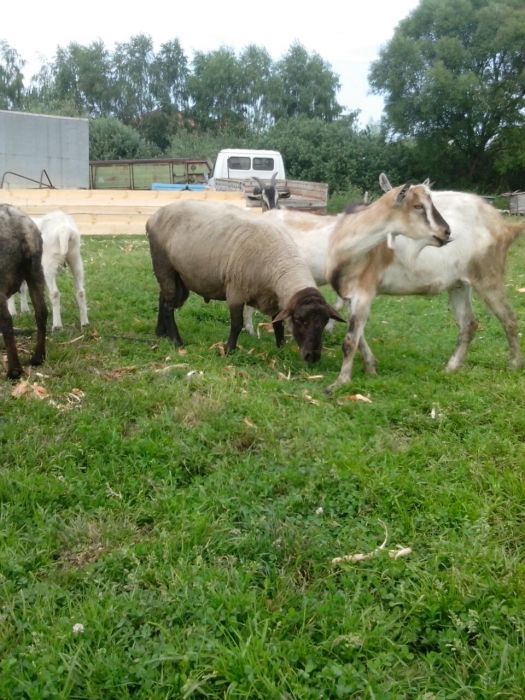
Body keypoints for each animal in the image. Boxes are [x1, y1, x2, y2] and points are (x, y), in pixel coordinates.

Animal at [146, 200, 344, 364]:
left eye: (324, 322)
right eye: (299, 320)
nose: (313, 357)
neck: (279, 264)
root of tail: (154, 216)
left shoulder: (273, 300)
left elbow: (277, 324)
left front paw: (281, 347)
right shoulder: (235, 292)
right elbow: (237, 325)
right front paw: (229, 351)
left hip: (180, 276)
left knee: (163, 299)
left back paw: (160, 333)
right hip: (163, 264)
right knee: (169, 306)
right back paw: (177, 342)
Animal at [324, 178, 450, 392]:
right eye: (418, 206)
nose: (446, 232)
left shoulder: (364, 292)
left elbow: (351, 339)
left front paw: (340, 382)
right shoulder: (349, 293)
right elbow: (356, 332)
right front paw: (370, 367)